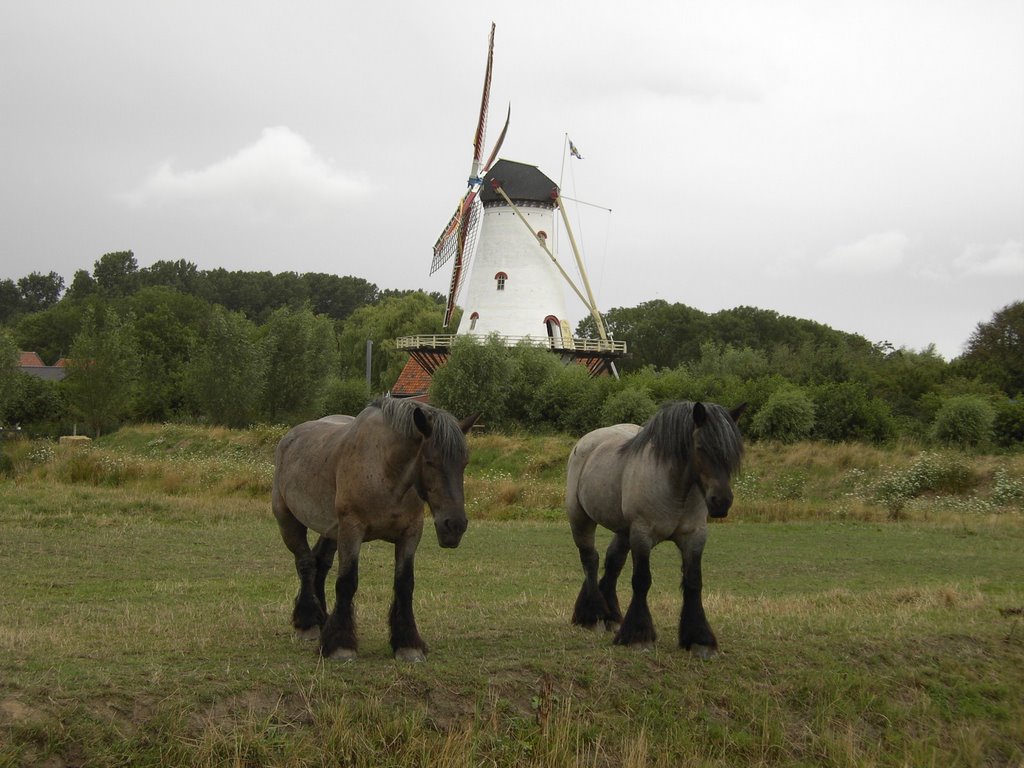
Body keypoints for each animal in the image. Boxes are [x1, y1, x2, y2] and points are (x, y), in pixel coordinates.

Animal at [272, 397, 479, 663]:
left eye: (464, 463)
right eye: (430, 461)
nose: (454, 526)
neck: (385, 472)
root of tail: (289, 438)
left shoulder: (410, 534)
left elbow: (405, 584)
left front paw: (408, 644)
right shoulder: (352, 530)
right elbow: (347, 582)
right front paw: (341, 646)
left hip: (331, 530)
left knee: (320, 563)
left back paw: (322, 619)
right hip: (288, 520)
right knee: (306, 563)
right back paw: (308, 623)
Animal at [569, 399, 745, 659]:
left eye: (733, 453)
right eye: (701, 447)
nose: (721, 502)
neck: (676, 488)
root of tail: (587, 440)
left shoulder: (694, 537)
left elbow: (693, 581)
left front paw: (700, 639)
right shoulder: (642, 535)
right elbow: (642, 580)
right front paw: (638, 636)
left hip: (623, 531)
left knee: (613, 562)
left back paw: (612, 616)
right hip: (580, 518)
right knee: (590, 560)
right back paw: (594, 616)